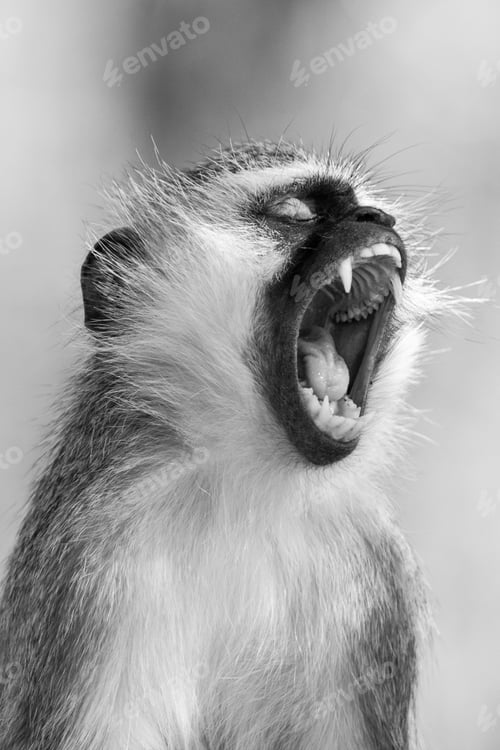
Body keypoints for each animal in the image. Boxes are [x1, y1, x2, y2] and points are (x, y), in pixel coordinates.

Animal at [0, 139, 456, 749]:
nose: (377, 219)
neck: (249, 489)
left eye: (377, 213)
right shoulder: (89, 560)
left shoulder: (376, 575)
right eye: (294, 212)